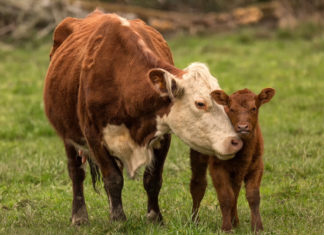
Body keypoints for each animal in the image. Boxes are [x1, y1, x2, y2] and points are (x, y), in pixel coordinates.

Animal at [43, 10, 243, 225]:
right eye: (200, 103)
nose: (235, 142)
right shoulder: (94, 136)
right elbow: (113, 178)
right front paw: (118, 219)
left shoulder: (163, 135)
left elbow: (152, 179)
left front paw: (154, 217)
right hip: (69, 136)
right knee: (76, 172)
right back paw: (79, 216)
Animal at [190, 87, 276, 231]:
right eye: (232, 109)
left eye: (254, 108)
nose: (243, 127)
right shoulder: (217, 168)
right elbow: (225, 196)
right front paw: (226, 227)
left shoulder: (257, 166)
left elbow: (253, 196)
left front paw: (257, 227)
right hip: (198, 155)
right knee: (198, 185)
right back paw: (194, 221)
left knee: (235, 191)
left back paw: (235, 221)